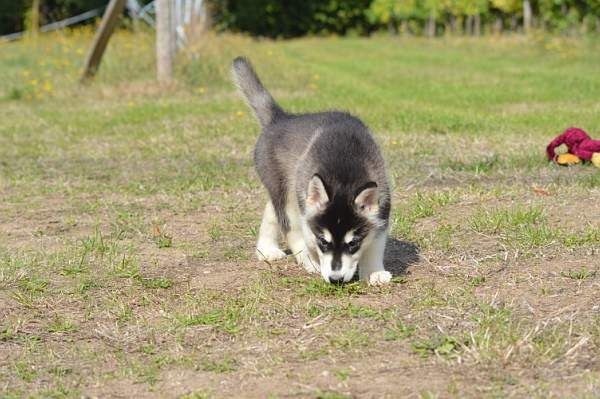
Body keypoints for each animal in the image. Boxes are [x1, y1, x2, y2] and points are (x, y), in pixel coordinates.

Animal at [232, 57, 392, 286]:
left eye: (353, 244)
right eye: (323, 242)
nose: (335, 279)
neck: (343, 172)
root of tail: (280, 119)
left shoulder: (382, 211)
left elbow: (375, 246)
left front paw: (374, 272)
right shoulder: (307, 216)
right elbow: (305, 238)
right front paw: (312, 260)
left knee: (271, 211)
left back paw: (267, 250)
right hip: (286, 191)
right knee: (288, 225)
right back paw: (302, 259)